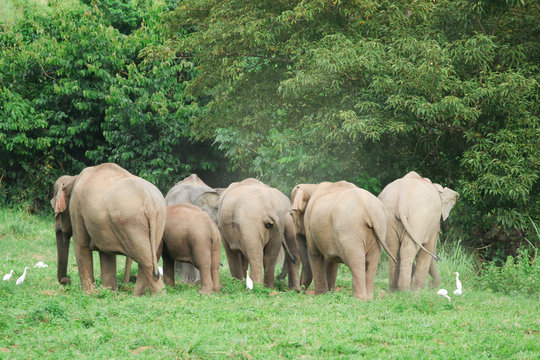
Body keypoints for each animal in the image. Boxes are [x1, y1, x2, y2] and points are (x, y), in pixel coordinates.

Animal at [51, 163, 166, 296]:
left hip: (130, 224)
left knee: (146, 261)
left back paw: (157, 297)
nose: (66, 281)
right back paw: (140, 296)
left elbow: (80, 245)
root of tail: (148, 201)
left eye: (55, 210)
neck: (73, 179)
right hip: (158, 220)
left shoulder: (76, 209)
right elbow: (106, 255)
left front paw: (89, 294)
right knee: (148, 259)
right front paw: (109, 293)